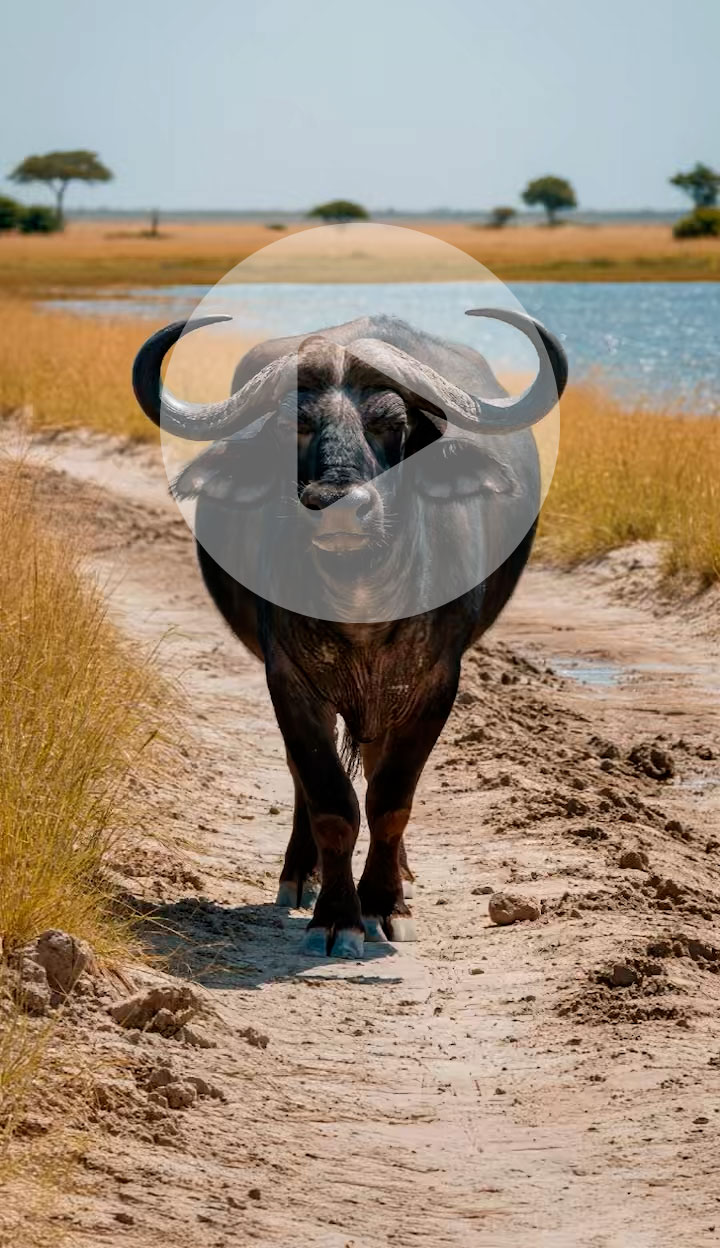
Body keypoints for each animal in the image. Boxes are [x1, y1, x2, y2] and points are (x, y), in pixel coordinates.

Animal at [132, 310, 567, 957]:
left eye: (392, 424)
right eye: (294, 426)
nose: (338, 505)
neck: (362, 597)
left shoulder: (434, 682)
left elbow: (391, 800)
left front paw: (385, 905)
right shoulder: (289, 680)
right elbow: (331, 800)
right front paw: (337, 917)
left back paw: (399, 874)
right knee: (304, 781)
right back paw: (300, 874)